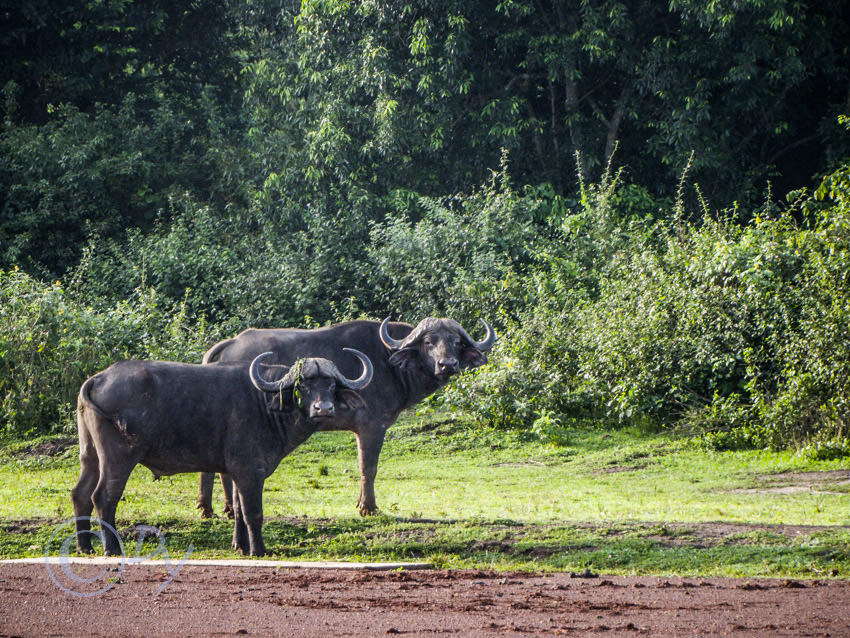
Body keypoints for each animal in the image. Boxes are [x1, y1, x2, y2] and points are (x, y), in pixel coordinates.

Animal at [74, 350, 372, 556]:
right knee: (104, 496)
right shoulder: (250, 471)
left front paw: (240, 546)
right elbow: (253, 512)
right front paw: (258, 550)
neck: (265, 403)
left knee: (80, 494)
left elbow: (238, 510)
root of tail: (98, 378)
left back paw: (84, 546)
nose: (324, 409)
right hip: (119, 457)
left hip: (90, 455)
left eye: (331, 385)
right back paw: (111, 548)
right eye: (304, 385)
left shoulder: (237, 472)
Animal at [198, 316, 494, 520]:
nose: (448, 365)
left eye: (456, 342)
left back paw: (216, 508)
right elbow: (368, 467)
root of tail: (230, 343)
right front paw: (368, 508)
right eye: (429, 342)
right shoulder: (372, 427)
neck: (389, 363)